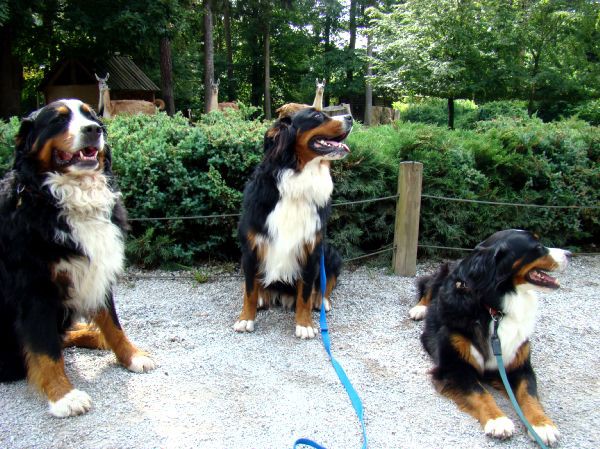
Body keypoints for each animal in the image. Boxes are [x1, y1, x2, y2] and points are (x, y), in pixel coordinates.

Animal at [0, 98, 155, 416]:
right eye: (58, 120)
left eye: (90, 115)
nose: (94, 130)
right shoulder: (35, 288)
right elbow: (44, 347)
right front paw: (63, 395)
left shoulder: (98, 270)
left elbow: (113, 323)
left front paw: (131, 355)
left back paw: (94, 335)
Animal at [233, 107, 352, 338]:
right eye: (316, 116)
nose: (350, 117)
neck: (297, 182)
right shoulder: (251, 248)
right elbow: (249, 290)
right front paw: (245, 319)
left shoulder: (311, 249)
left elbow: (305, 293)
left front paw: (304, 324)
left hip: (330, 252)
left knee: (325, 283)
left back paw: (321, 300)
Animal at [408, 229, 572, 446]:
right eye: (537, 247)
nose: (570, 254)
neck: (494, 310)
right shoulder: (454, 367)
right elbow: (480, 393)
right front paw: (498, 420)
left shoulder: (520, 364)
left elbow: (528, 395)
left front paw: (541, 425)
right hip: (444, 272)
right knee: (428, 286)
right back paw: (419, 309)